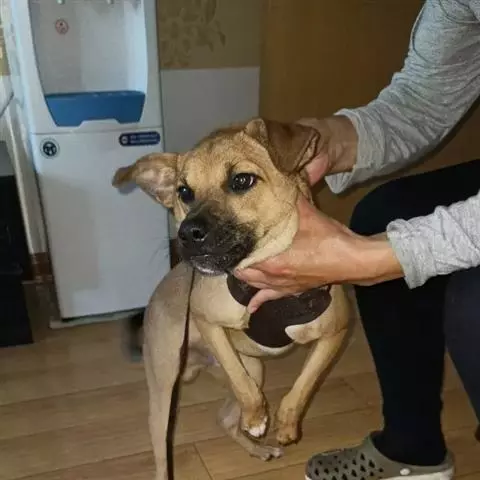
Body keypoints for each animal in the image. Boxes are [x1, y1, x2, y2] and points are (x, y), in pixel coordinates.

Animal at [112, 118, 353, 480]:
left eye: (242, 180)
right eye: (184, 192)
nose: (187, 234)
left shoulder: (334, 334)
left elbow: (303, 385)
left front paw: (285, 425)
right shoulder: (208, 323)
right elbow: (241, 384)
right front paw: (256, 418)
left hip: (255, 366)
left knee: (224, 418)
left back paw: (257, 448)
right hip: (165, 390)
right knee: (164, 452)